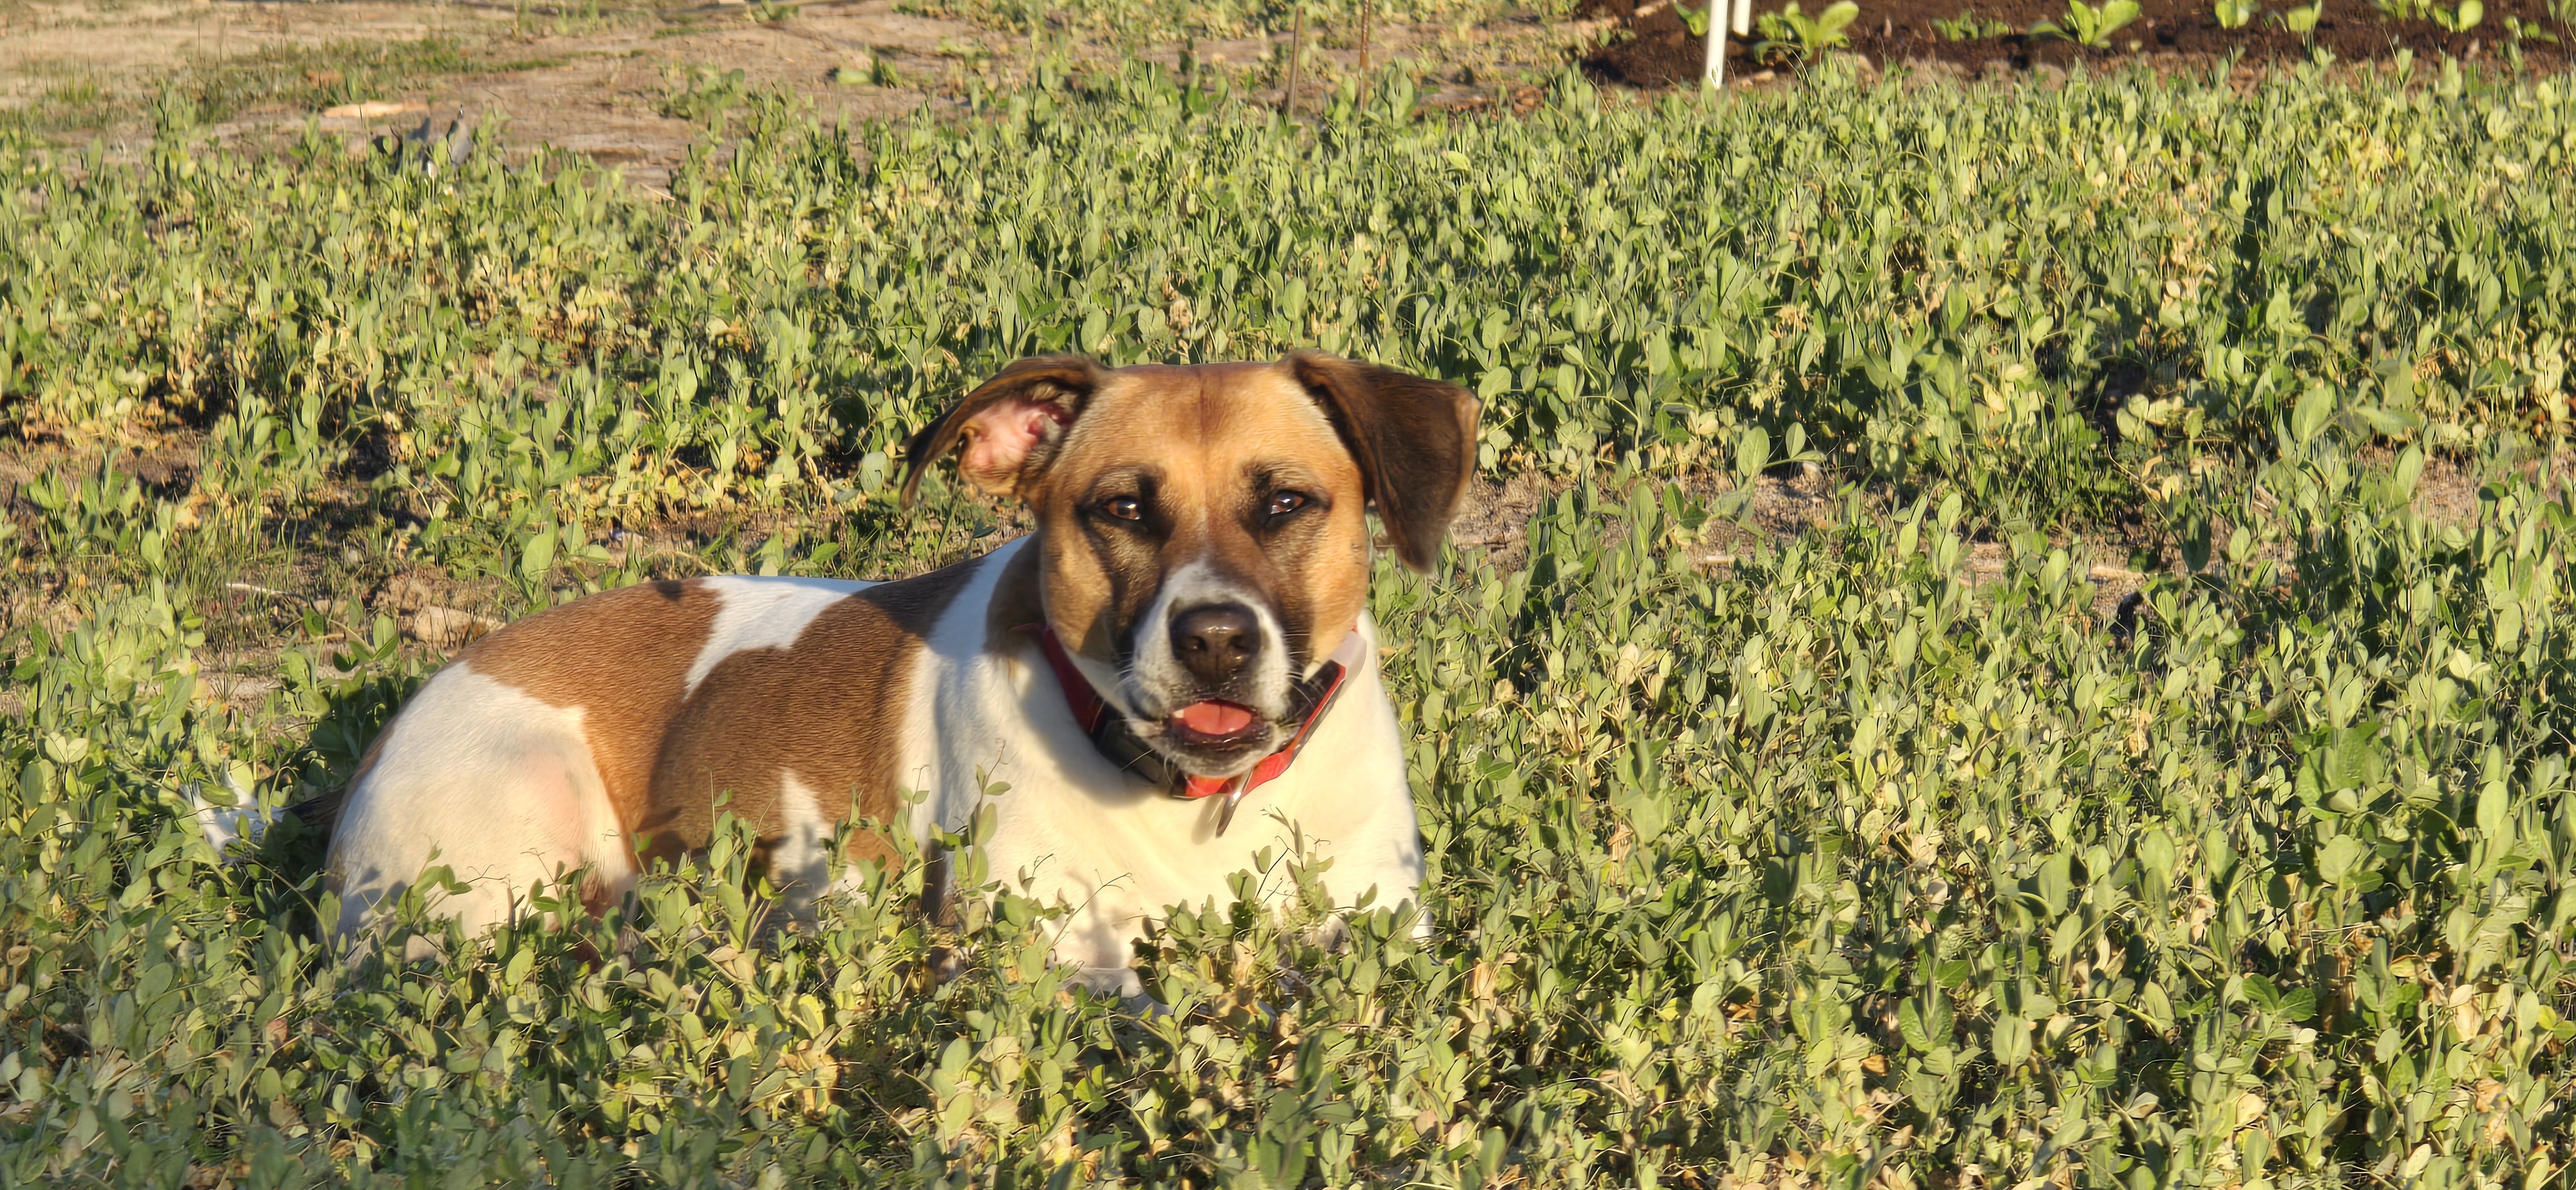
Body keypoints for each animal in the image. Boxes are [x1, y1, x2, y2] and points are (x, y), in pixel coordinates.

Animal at [326, 352, 1478, 992]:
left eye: (1285, 503)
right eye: (1122, 508)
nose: (1215, 640)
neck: (1197, 803)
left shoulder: (1388, 924)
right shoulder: (1054, 958)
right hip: (508, 844)